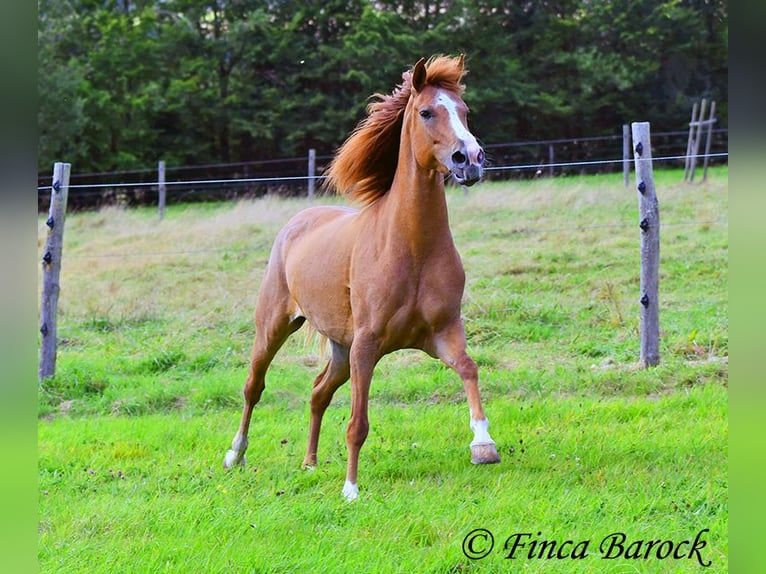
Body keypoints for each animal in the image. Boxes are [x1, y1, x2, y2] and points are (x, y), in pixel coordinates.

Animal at [225, 56, 500, 502]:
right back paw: (235, 455)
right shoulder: (367, 346)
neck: (411, 248)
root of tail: (297, 222)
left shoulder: (442, 332)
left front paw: (483, 445)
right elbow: (358, 424)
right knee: (254, 386)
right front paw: (351, 489)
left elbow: (469, 368)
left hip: (340, 349)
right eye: (426, 112)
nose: (469, 159)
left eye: (465, 111)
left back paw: (310, 463)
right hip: (275, 327)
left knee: (318, 392)